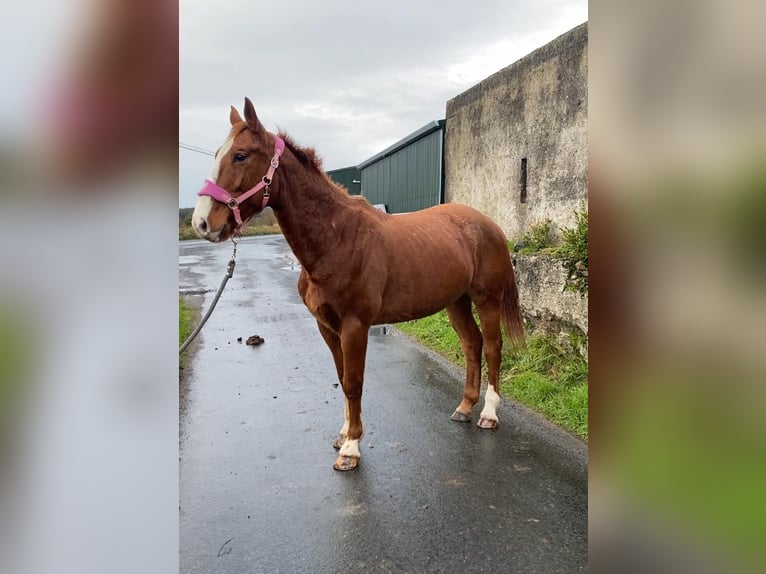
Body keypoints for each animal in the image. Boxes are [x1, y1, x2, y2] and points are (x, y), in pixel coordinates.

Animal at [192, 95, 528, 472]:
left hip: (487, 299)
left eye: (240, 155)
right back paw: (464, 407)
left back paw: (489, 413)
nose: (201, 222)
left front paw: (351, 448)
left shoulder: (355, 325)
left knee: (492, 347)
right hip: (456, 301)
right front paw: (344, 435)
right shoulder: (327, 326)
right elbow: (342, 379)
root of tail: (489, 224)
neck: (336, 239)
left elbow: (353, 383)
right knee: (472, 344)